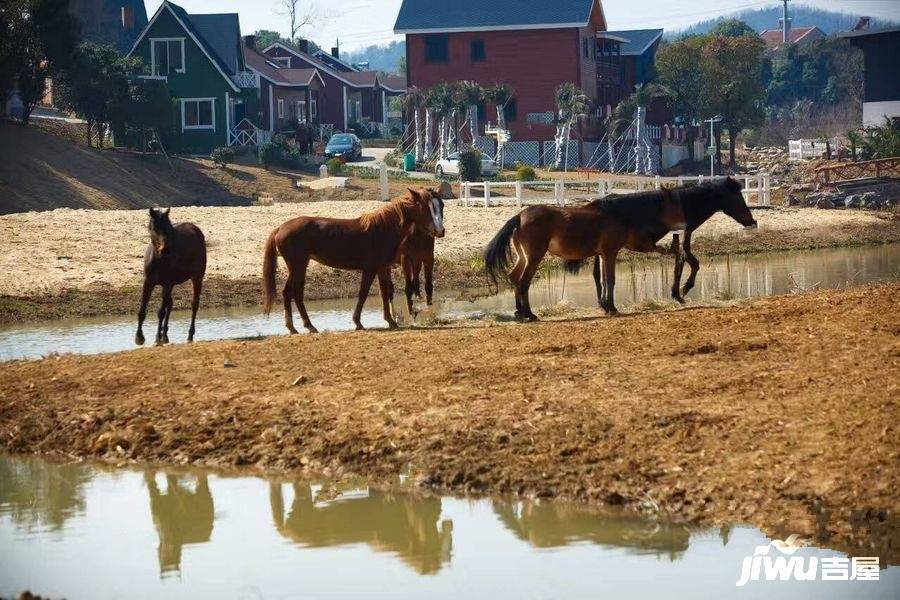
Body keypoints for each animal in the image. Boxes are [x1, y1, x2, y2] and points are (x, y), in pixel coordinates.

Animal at [135, 207, 207, 344]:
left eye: (169, 226)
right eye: (155, 227)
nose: (165, 250)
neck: (159, 260)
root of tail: (195, 228)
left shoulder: (167, 284)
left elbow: (161, 312)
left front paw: (157, 338)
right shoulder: (148, 283)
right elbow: (142, 311)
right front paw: (139, 337)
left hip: (197, 278)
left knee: (194, 305)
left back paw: (189, 336)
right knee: (170, 303)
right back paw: (165, 334)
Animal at [262, 188, 444, 332]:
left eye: (441, 205)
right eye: (426, 207)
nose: (440, 231)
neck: (384, 228)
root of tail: (280, 228)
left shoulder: (383, 268)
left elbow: (385, 293)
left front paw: (391, 321)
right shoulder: (371, 268)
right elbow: (363, 293)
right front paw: (358, 322)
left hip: (297, 266)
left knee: (289, 293)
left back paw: (293, 327)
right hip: (299, 265)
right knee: (295, 293)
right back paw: (308, 326)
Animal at [486, 189, 688, 322]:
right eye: (675, 207)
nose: (685, 225)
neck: (618, 214)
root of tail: (520, 216)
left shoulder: (603, 255)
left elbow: (604, 280)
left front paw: (606, 306)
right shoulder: (610, 252)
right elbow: (610, 280)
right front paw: (611, 307)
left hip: (523, 257)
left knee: (514, 277)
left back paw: (519, 312)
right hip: (534, 257)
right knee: (524, 282)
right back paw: (529, 314)